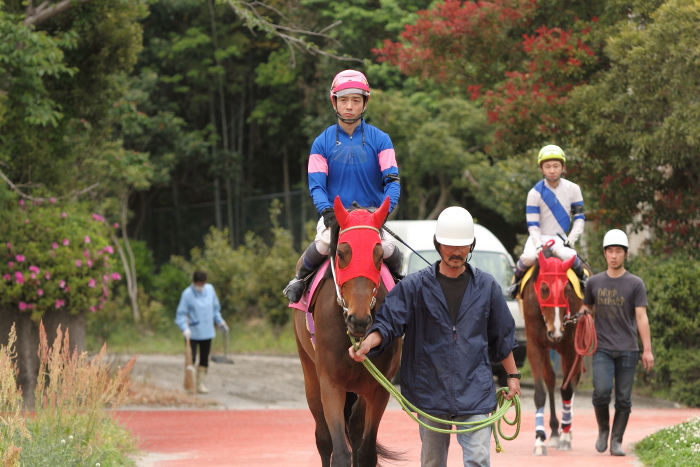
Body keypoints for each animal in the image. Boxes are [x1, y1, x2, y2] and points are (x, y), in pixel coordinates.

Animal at [292, 196, 400, 466]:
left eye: (379, 255)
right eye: (341, 253)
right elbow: (340, 452)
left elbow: (366, 450)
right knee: (323, 438)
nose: (358, 320)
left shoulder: (378, 388)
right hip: (309, 372)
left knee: (356, 427)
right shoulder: (331, 382)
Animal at [520, 245, 592, 458]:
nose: (557, 330)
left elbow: (567, 389)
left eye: (567, 289)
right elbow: (540, 392)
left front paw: (566, 437)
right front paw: (539, 440)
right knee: (551, 380)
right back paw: (552, 432)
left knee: (572, 382)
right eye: (544, 289)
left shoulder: (570, 347)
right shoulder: (535, 347)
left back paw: (566, 429)